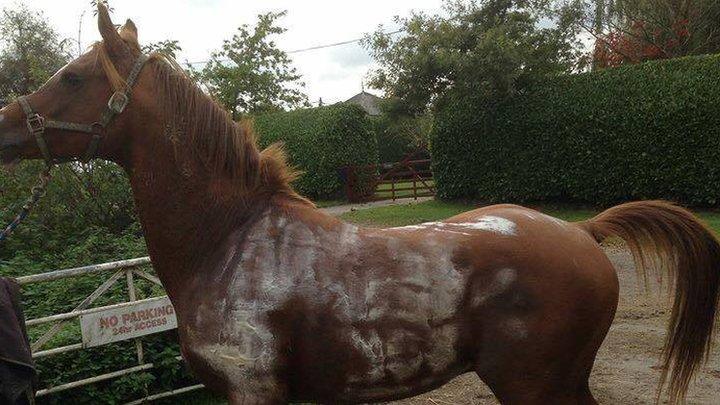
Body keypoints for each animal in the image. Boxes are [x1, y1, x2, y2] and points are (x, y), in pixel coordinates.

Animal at [0, 5, 718, 404]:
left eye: (73, 76)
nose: (6, 124)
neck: (230, 240)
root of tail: (585, 232)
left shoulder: (252, 393)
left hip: (535, 386)